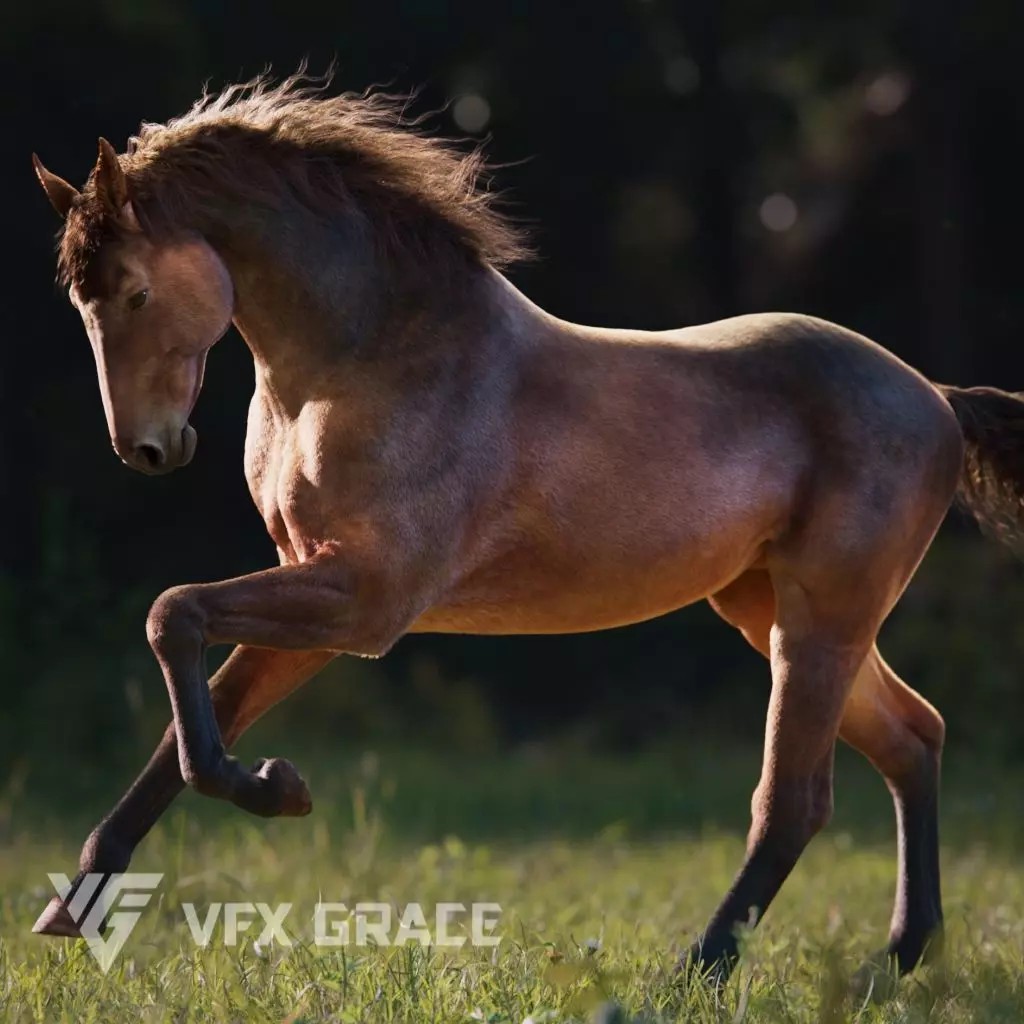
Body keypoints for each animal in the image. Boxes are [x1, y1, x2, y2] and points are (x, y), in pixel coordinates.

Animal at [30, 72, 1024, 983]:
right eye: (82, 300)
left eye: (134, 292)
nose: (148, 449)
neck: (362, 361)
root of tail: (936, 398)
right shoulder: (315, 591)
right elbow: (185, 712)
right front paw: (75, 905)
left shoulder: (365, 600)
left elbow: (173, 616)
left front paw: (278, 788)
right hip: (767, 608)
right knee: (914, 737)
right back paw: (904, 955)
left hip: (822, 619)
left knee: (797, 801)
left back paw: (696, 971)